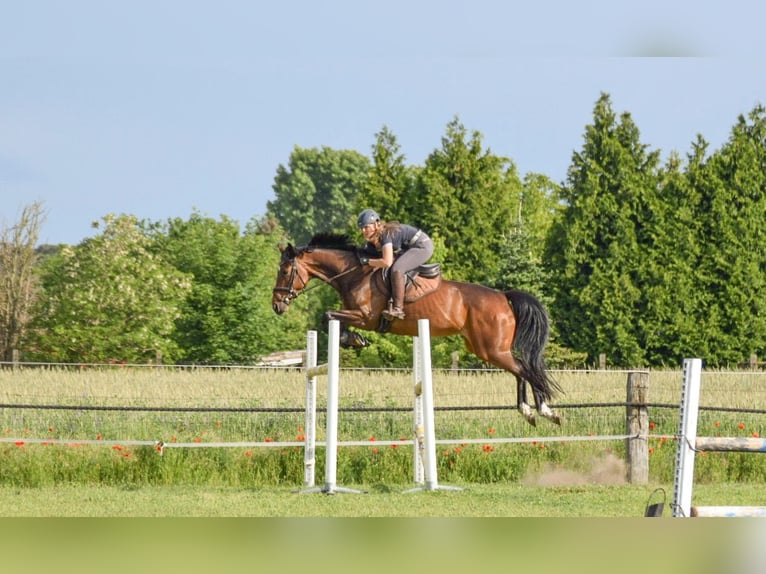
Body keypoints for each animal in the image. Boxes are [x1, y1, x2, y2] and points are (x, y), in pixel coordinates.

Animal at [272, 232, 560, 426]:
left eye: (285, 271)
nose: (276, 305)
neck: (354, 274)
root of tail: (503, 296)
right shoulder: (357, 316)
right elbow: (333, 318)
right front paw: (354, 340)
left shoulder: (365, 317)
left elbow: (328, 315)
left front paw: (355, 339)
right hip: (485, 348)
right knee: (521, 370)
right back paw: (528, 411)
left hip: (492, 349)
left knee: (525, 370)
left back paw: (544, 411)